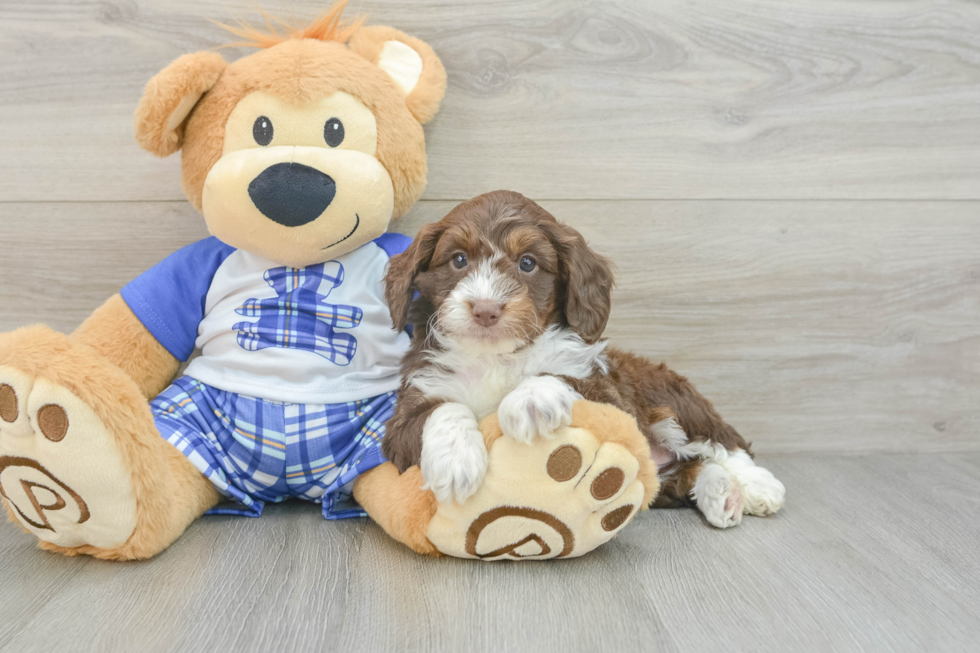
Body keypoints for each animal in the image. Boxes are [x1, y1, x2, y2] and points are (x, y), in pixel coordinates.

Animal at [378, 191, 784, 528]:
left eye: (528, 263)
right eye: (458, 260)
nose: (486, 310)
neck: (497, 356)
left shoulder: (610, 397)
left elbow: (558, 376)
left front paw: (530, 401)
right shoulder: (408, 409)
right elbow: (442, 409)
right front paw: (456, 463)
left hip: (668, 396)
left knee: (723, 442)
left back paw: (758, 487)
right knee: (691, 469)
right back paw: (722, 494)